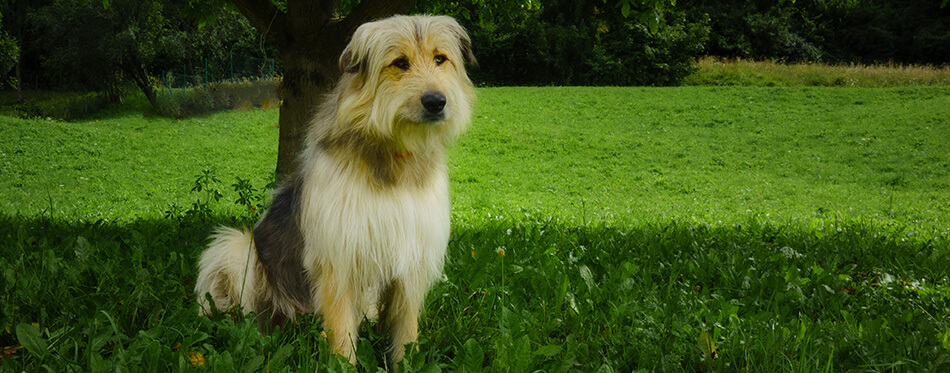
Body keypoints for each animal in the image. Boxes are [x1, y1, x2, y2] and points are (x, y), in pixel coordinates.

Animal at [195, 14, 476, 364]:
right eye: (400, 63)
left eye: (440, 59)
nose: (437, 102)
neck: (392, 151)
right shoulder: (338, 257)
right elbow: (342, 331)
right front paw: (343, 365)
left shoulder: (412, 252)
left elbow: (405, 328)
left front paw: (405, 363)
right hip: (235, 249)